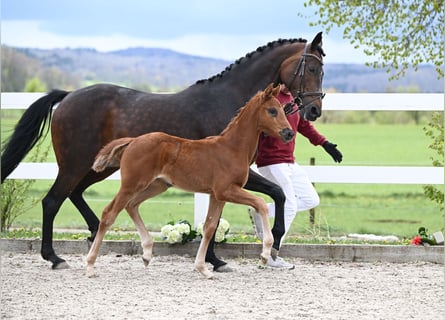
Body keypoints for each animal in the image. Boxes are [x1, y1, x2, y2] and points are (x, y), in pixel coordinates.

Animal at [1, 32, 324, 268]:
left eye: (322, 69)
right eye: (311, 67)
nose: (314, 110)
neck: (229, 99)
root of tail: (67, 97)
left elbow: (259, 201)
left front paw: (227, 257)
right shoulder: (228, 177)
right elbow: (273, 196)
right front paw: (241, 253)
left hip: (101, 167)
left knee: (76, 194)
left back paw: (93, 232)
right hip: (74, 165)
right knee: (52, 201)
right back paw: (54, 257)